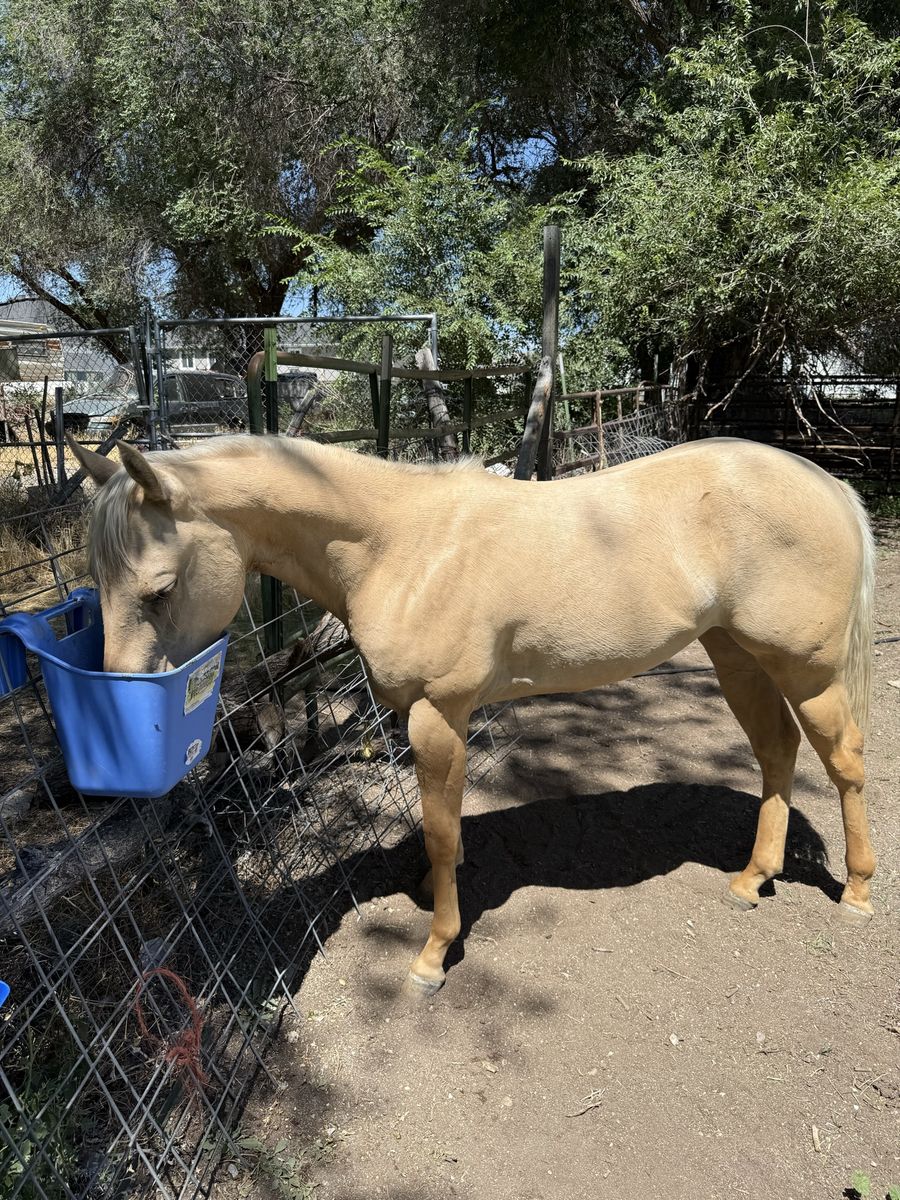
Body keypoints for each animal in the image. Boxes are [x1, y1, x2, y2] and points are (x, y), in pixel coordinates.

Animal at [69, 433, 877, 997]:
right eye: (96, 586)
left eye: (158, 589)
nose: (115, 710)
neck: (400, 546)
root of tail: (827, 485)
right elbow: (443, 829)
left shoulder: (437, 716)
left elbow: (441, 833)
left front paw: (433, 953)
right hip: (736, 655)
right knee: (775, 751)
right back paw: (753, 878)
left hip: (805, 669)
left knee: (843, 760)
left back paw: (858, 893)